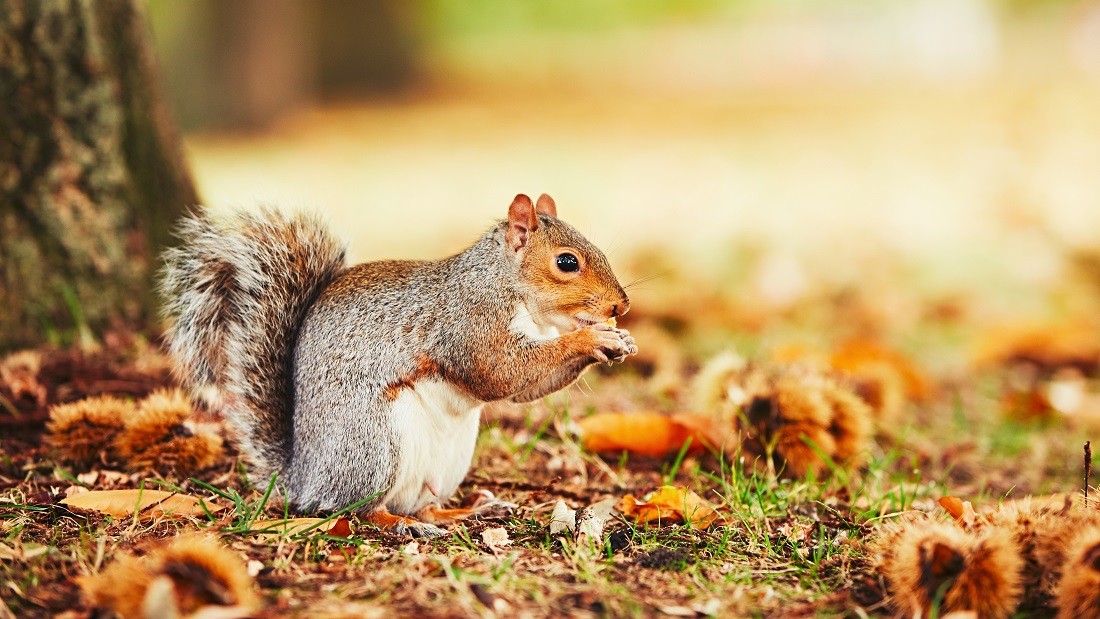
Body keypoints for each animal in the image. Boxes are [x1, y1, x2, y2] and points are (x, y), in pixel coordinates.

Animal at [160, 193, 637, 536]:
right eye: (566, 262)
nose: (621, 306)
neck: (504, 283)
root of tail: (305, 474)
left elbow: (525, 388)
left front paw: (617, 340)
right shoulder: (469, 322)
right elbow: (499, 371)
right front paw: (593, 337)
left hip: (446, 462)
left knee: (423, 504)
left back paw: (463, 512)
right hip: (372, 445)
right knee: (359, 508)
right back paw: (401, 524)